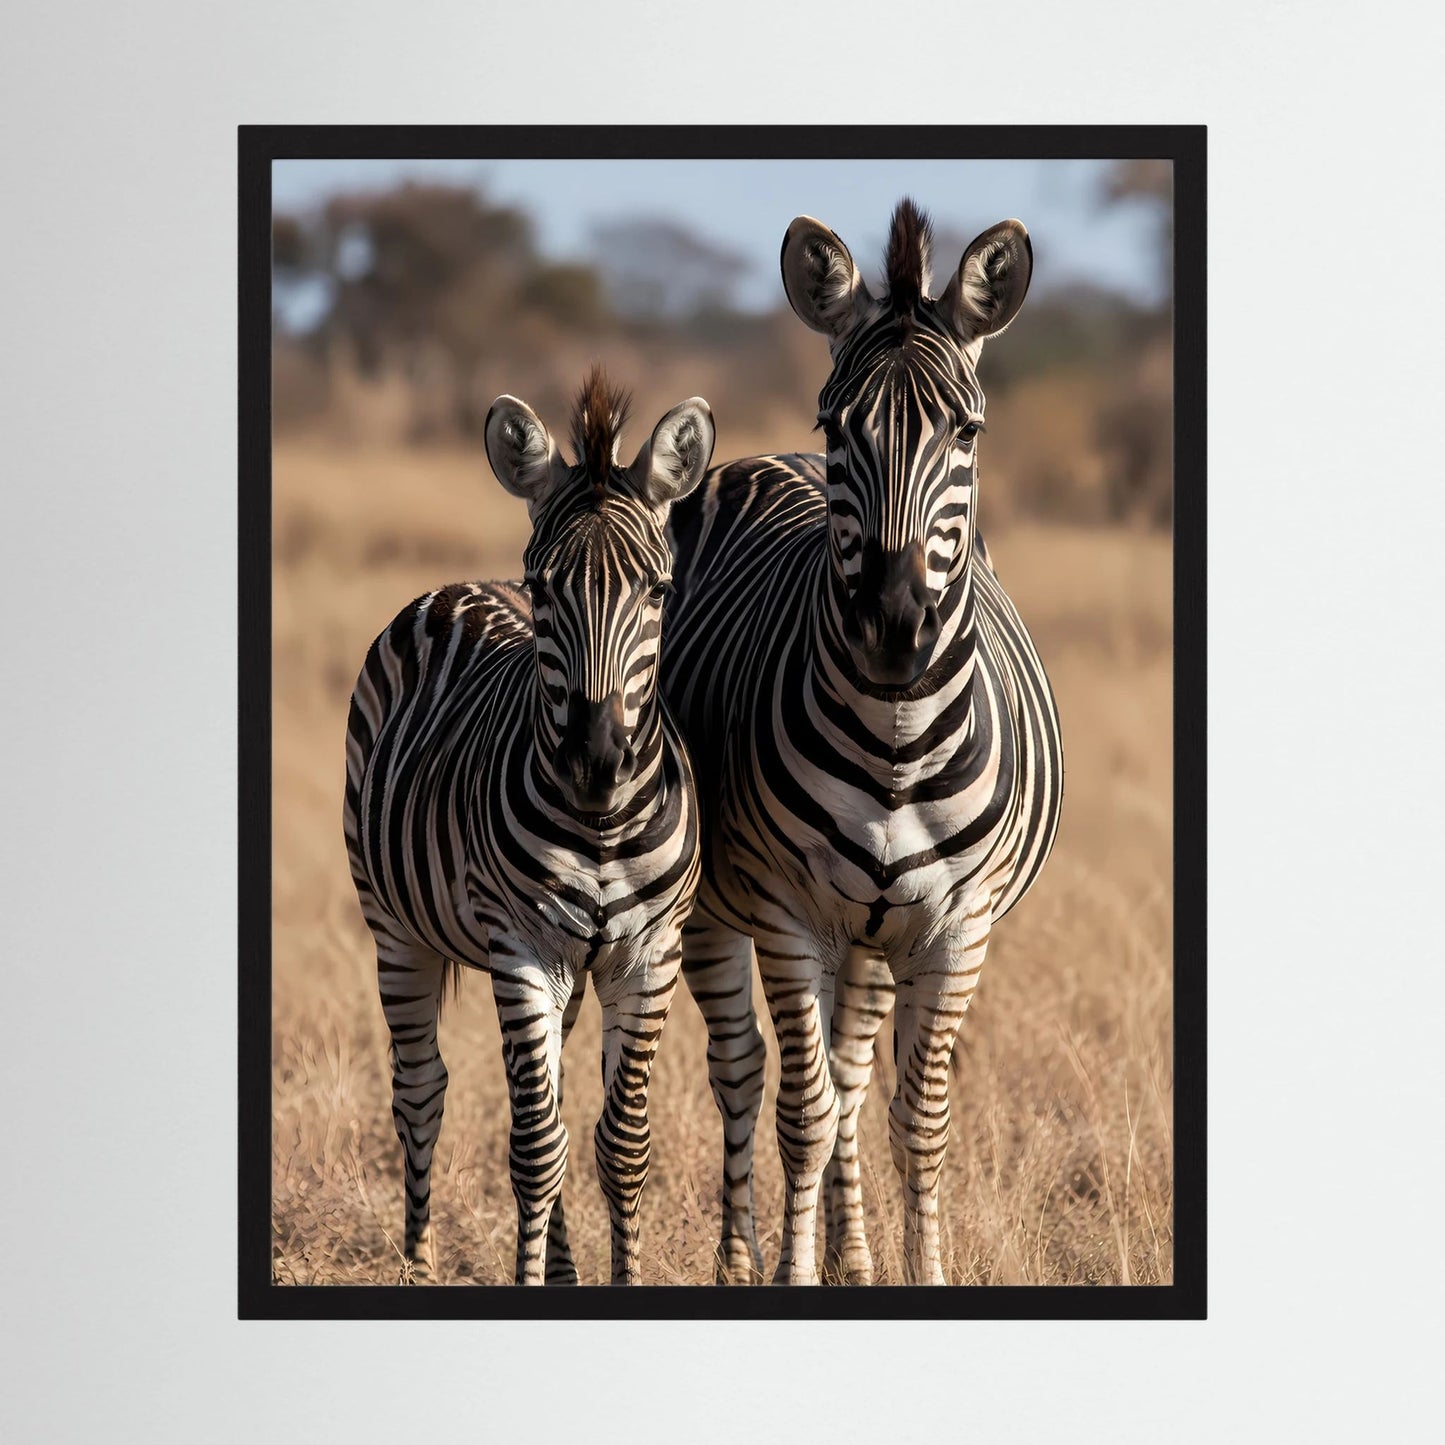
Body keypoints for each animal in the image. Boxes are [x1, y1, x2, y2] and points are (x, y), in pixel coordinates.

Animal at [344, 367, 712, 1285]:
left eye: (658, 591)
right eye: (547, 588)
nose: (596, 753)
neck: (603, 823)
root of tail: (454, 588)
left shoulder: (649, 955)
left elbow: (619, 1143)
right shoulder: (520, 949)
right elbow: (535, 1147)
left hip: (571, 973)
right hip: (391, 923)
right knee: (420, 1089)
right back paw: (417, 1266)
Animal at [661, 200, 1063, 1285]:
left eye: (966, 430)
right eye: (836, 424)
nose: (892, 621)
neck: (894, 738)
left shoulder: (956, 928)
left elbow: (912, 1121)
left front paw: (915, 1270)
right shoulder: (785, 912)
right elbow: (799, 1111)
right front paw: (789, 1273)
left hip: (877, 935)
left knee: (846, 1074)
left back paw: (855, 1254)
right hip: (720, 909)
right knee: (742, 1072)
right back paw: (742, 1256)